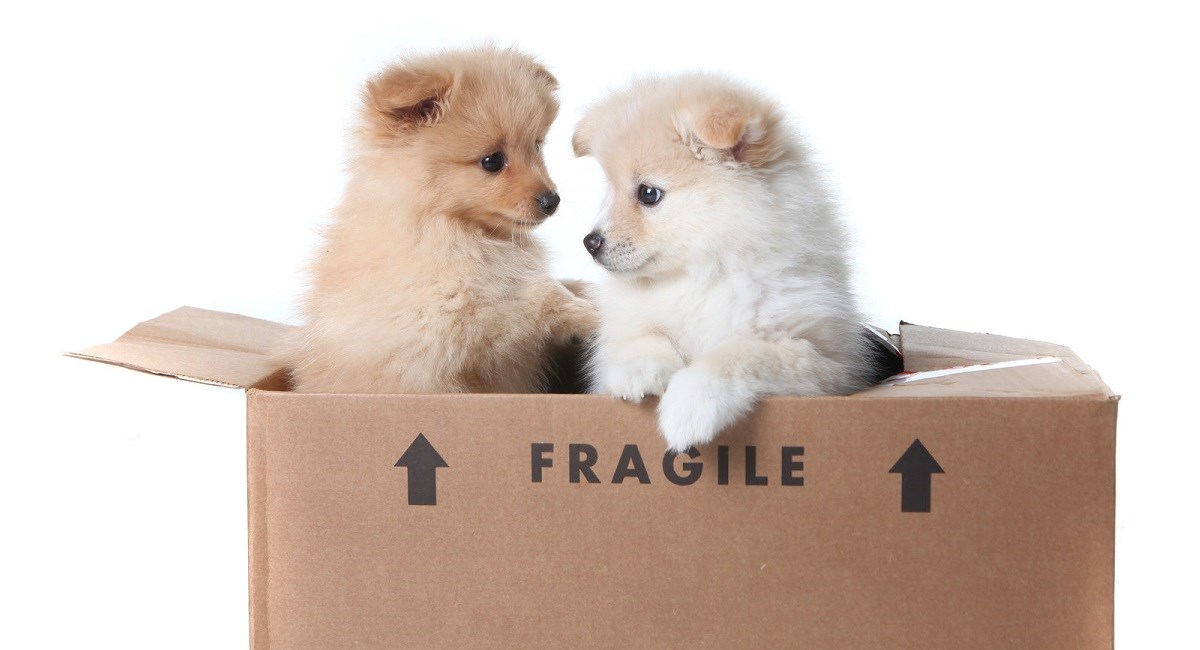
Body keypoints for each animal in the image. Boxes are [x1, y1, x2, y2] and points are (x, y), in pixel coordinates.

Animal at [282, 47, 600, 393]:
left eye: (537, 146)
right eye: (492, 161)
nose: (552, 201)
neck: (446, 223)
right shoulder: (446, 316)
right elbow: (539, 297)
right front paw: (590, 312)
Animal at [571, 73, 873, 453]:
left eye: (648, 194)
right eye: (608, 191)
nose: (590, 242)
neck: (702, 273)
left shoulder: (816, 356)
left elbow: (734, 354)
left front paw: (689, 406)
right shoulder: (626, 326)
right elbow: (641, 339)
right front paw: (637, 373)